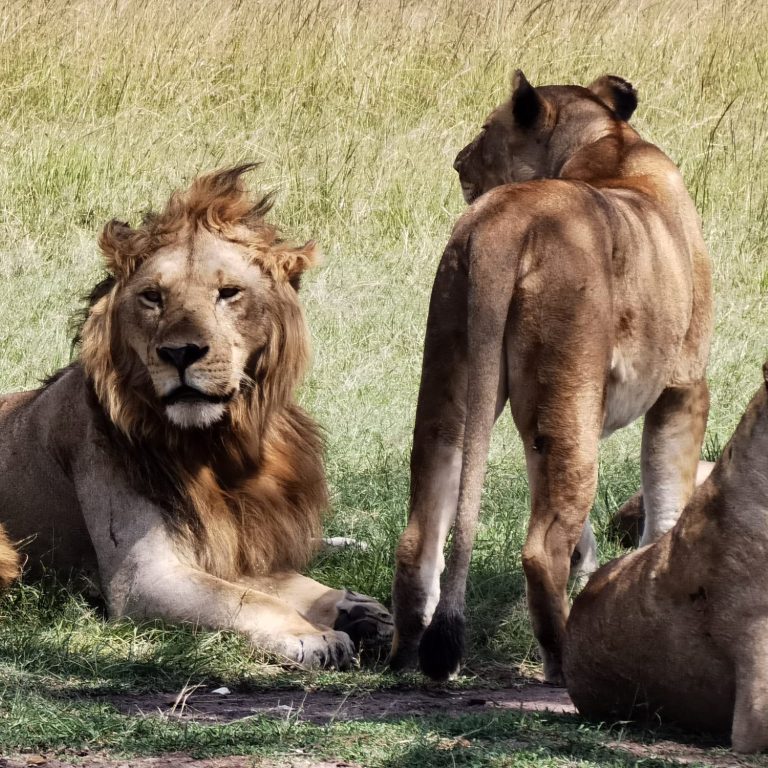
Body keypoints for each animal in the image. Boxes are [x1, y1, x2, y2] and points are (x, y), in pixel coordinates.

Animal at [0, 165, 392, 668]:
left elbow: (285, 581)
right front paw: (314, 635)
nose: (180, 352)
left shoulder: (240, 542)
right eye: (152, 297)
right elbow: (246, 598)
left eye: (228, 293)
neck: (221, 445)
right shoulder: (142, 577)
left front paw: (351, 608)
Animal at [390, 72, 712, 684]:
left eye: (485, 129)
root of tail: (505, 223)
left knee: (422, 530)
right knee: (541, 550)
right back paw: (565, 665)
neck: (606, 142)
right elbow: (666, 501)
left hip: (454, 376)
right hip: (568, 384)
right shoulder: (685, 383)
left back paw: (405, 656)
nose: (457, 160)